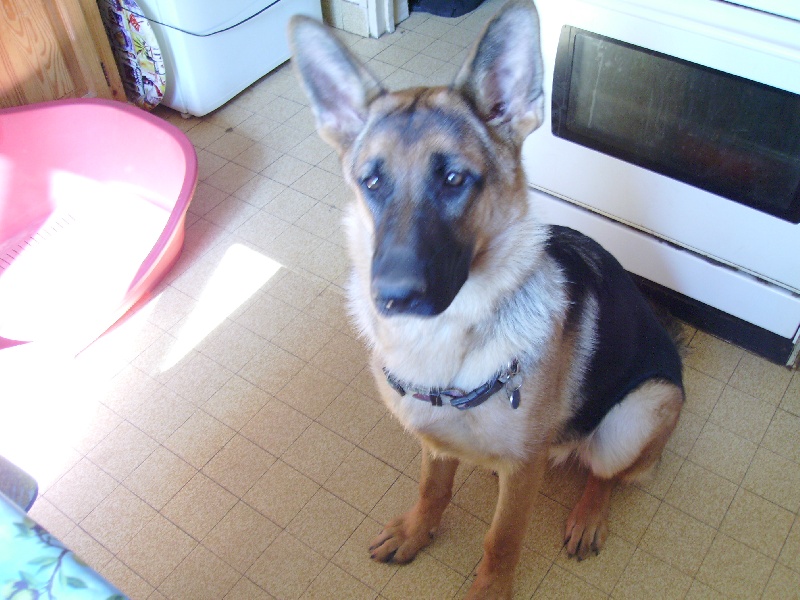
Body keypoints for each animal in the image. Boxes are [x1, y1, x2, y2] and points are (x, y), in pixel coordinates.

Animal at [289, 2, 684, 597]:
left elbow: (502, 539)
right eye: (372, 182)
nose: (392, 297)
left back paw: (589, 516)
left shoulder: (522, 470)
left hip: (635, 415)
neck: (443, 345)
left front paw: (491, 587)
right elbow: (433, 488)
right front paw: (417, 531)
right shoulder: (433, 443)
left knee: (606, 474)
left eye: (454, 179)